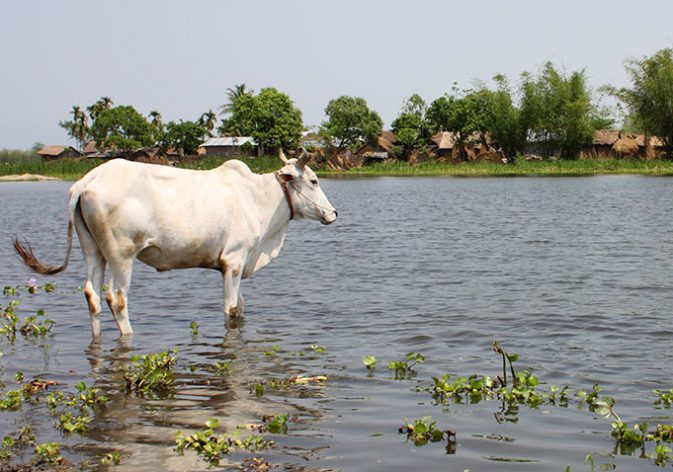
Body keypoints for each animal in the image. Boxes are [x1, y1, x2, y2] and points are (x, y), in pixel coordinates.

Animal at [15, 149, 338, 338]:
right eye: (313, 180)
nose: (333, 213)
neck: (258, 197)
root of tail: (88, 179)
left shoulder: (238, 262)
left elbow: (242, 306)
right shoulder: (233, 261)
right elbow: (232, 309)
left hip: (93, 250)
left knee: (91, 294)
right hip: (121, 255)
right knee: (115, 297)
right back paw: (129, 335)